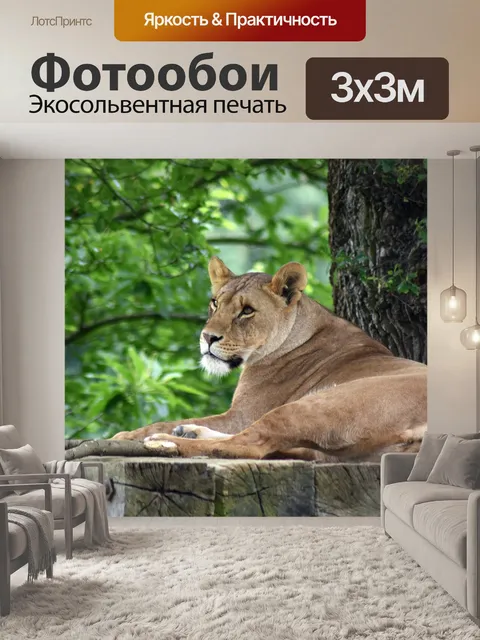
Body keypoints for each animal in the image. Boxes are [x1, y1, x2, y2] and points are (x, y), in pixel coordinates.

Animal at [112, 257, 427, 461]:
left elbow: (160, 423)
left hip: (321, 403)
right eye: (215, 303)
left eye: (247, 311)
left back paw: (167, 443)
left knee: (250, 445)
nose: (207, 337)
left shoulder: (243, 414)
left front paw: (125, 436)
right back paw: (189, 432)